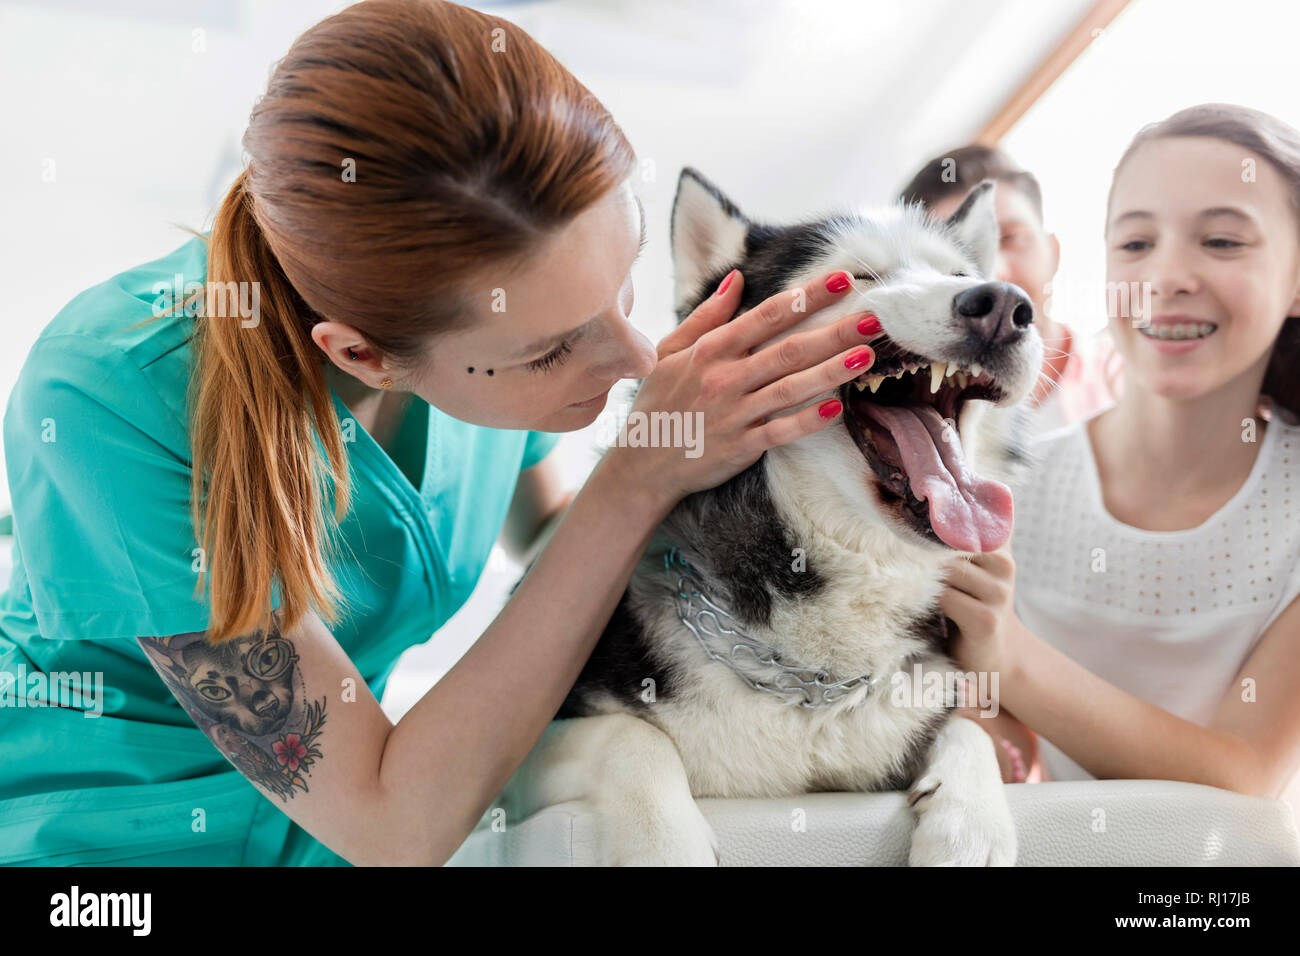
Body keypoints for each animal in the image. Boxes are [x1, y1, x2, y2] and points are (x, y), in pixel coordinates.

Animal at [499, 167, 1045, 863]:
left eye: (956, 274)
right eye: (858, 277)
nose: (1004, 304)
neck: (808, 683)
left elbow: (968, 732)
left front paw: (971, 822)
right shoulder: (525, 761)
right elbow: (631, 737)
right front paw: (663, 841)